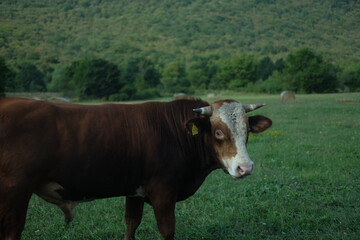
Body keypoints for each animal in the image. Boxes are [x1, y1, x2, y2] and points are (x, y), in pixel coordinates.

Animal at [0, 96, 272, 239]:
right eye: (218, 132)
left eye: (247, 131)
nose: (245, 167)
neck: (175, 132)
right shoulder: (163, 191)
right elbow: (167, 229)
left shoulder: (135, 191)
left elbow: (131, 223)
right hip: (15, 192)